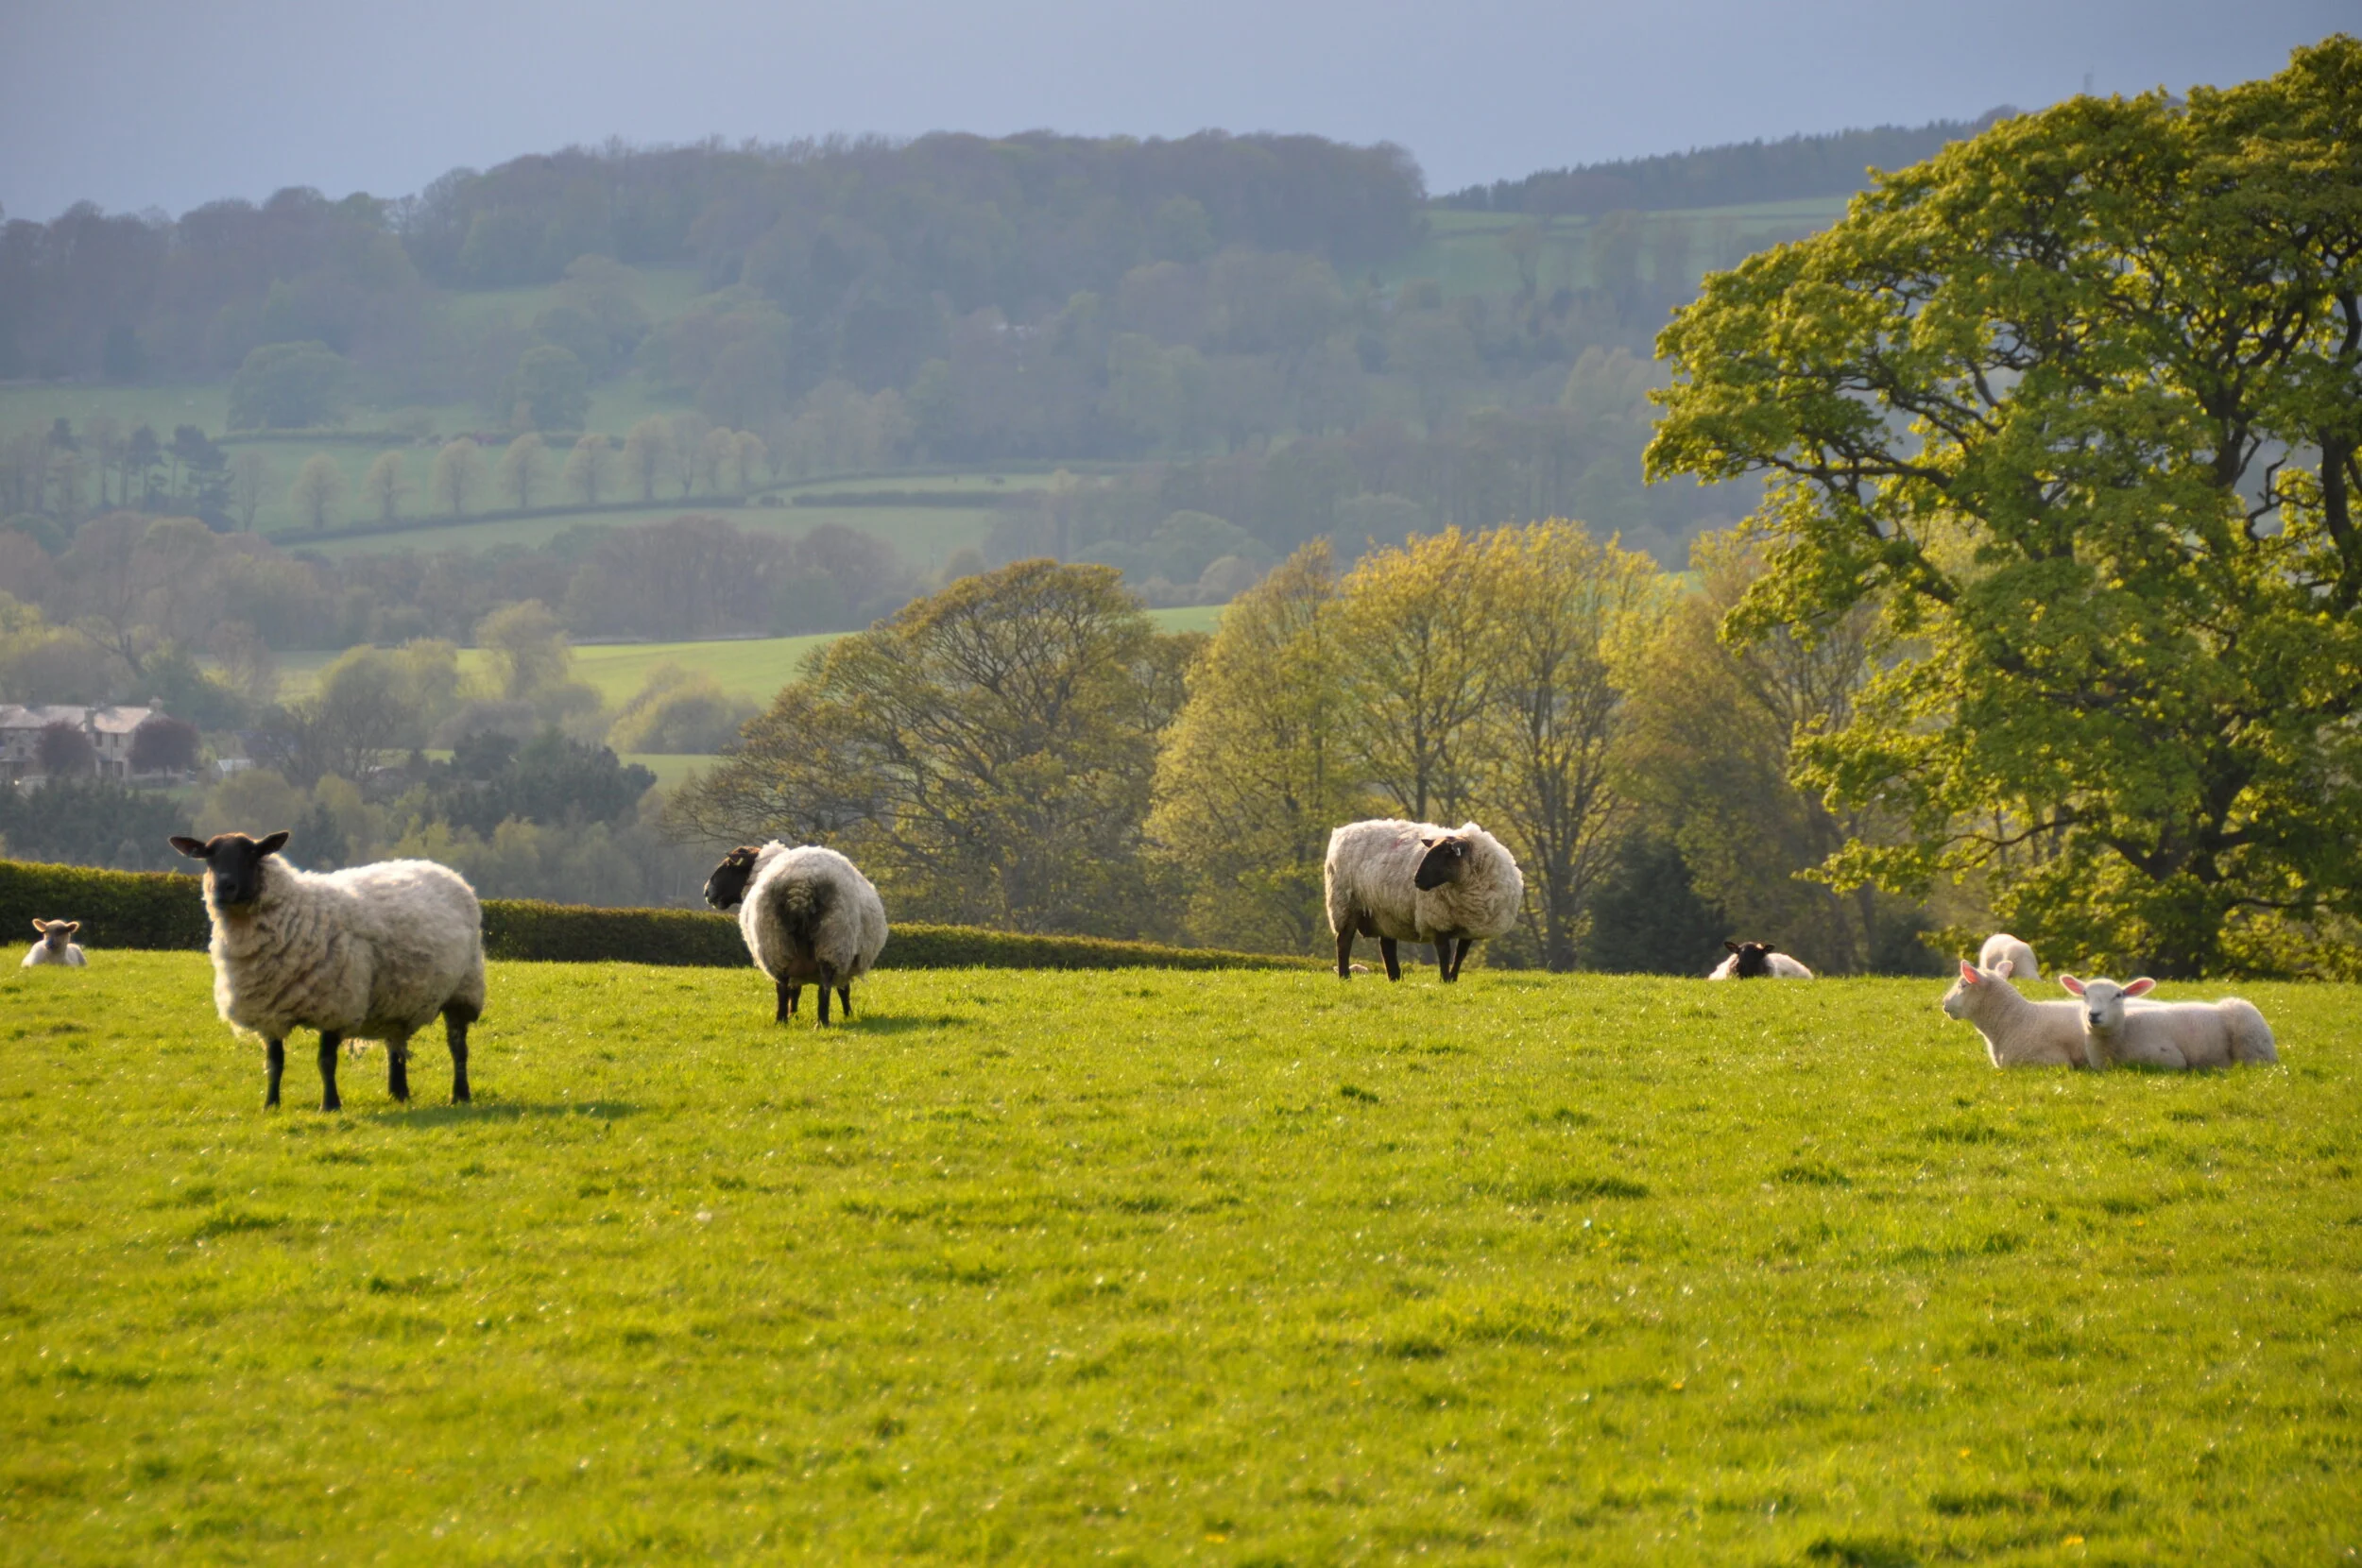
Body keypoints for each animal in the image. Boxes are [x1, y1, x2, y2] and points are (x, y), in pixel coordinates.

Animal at [168, 830, 487, 1111]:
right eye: (208, 857)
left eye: (252, 854)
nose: (223, 889)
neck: (294, 913)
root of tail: (442, 869)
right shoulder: (269, 1011)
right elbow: (274, 1063)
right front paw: (270, 1105)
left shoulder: (336, 1004)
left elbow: (326, 1061)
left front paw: (330, 1105)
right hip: (397, 999)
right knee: (395, 1045)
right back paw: (398, 1094)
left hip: (464, 989)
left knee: (457, 1047)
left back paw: (460, 1095)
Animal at [704, 842, 888, 1026]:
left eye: (729, 865)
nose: (707, 892)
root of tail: (801, 883)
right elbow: (840, 989)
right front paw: (846, 1013)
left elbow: (800, 989)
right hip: (831, 940)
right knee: (823, 984)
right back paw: (820, 1021)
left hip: (780, 942)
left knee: (783, 985)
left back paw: (783, 1020)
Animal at [1325, 819, 1522, 982]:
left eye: (1445, 853)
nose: (1416, 880)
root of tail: (1342, 832)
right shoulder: (1437, 920)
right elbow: (1444, 953)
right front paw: (1445, 979)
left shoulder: (1470, 928)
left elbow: (1460, 955)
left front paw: (1453, 978)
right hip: (1345, 904)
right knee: (1344, 941)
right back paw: (1345, 976)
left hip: (1385, 911)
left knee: (1387, 946)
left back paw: (1395, 978)